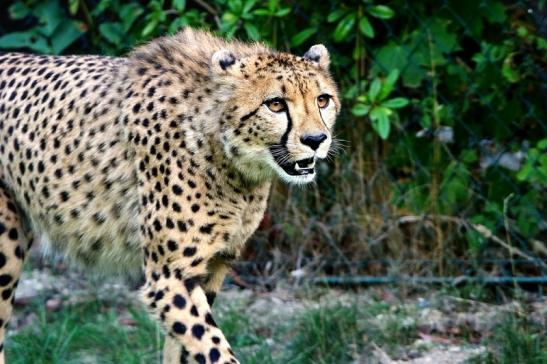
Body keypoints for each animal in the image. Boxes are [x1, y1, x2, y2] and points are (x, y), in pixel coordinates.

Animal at [0, 29, 338, 364]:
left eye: (322, 100)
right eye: (276, 104)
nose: (316, 139)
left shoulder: (211, 268)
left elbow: (185, 348)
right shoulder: (169, 277)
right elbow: (215, 349)